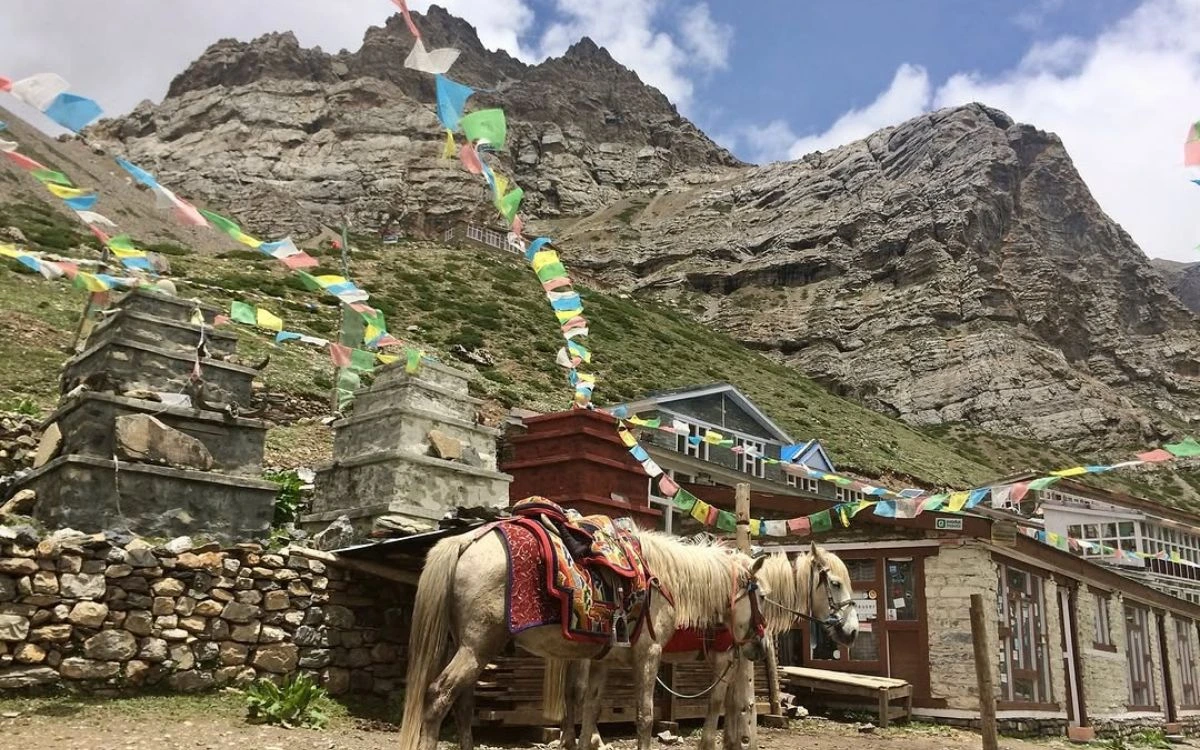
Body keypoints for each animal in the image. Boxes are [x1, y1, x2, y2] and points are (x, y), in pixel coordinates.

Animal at [398, 528, 772, 750]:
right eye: (764, 597)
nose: (758, 644)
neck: (665, 580)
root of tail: (468, 540)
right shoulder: (649, 654)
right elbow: (645, 716)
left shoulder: (602, 659)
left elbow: (590, 707)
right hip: (477, 646)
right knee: (438, 696)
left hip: (469, 646)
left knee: (462, 704)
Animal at [561, 543, 859, 750]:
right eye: (835, 584)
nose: (853, 631)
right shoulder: (724, 656)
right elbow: (718, 701)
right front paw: (712, 742)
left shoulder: (737, 657)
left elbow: (733, 702)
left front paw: (732, 741)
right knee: (580, 692)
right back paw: (592, 739)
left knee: (573, 694)